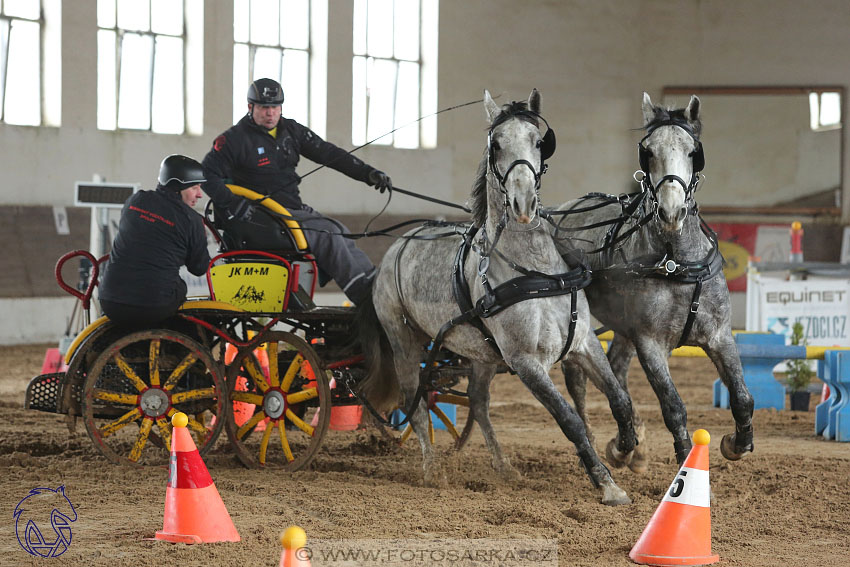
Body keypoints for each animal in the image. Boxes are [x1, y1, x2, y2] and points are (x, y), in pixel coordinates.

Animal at [356, 91, 636, 508]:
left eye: (539, 141)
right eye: (496, 144)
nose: (523, 203)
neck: (536, 273)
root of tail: (398, 245)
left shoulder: (584, 343)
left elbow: (620, 399)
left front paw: (625, 450)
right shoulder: (526, 362)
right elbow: (569, 419)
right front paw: (606, 483)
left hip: (482, 354)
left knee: (478, 402)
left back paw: (504, 467)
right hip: (404, 341)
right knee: (414, 401)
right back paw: (432, 469)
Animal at [552, 95, 752, 472]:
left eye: (693, 151)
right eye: (647, 151)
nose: (671, 213)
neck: (676, 262)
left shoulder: (719, 336)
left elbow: (742, 397)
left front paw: (737, 443)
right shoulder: (650, 343)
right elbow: (673, 406)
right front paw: (684, 459)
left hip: (624, 327)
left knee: (616, 368)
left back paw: (629, 445)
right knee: (578, 376)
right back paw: (597, 439)